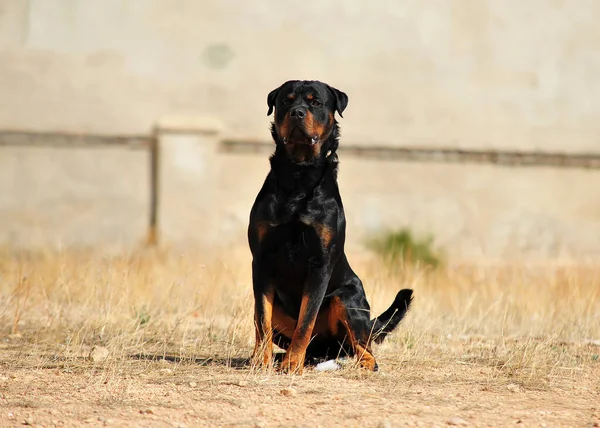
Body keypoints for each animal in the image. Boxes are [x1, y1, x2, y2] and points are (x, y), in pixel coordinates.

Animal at [246, 80, 410, 374]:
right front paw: (261, 361)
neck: (299, 174)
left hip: (348, 298)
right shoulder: (261, 259)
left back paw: (360, 363)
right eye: (286, 102)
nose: (297, 112)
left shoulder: (320, 262)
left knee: (362, 344)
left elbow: (306, 319)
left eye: (315, 102)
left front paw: (292, 364)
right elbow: (262, 316)